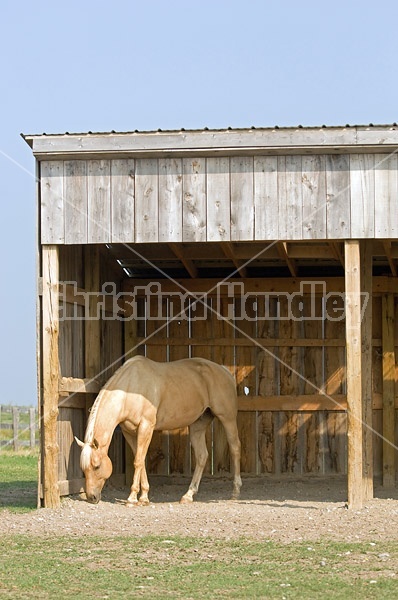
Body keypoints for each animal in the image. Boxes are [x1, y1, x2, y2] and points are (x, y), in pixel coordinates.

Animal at [75, 356, 243, 506]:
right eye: (83, 468)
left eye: (96, 466)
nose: (91, 497)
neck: (130, 388)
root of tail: (224, 371)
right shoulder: (129, 432)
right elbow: (140, 460)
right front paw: (143, 497)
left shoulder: (146, 427)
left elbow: (138, 461)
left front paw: (132, 498)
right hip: (198, 425)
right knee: (202, 456)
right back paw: (188, 495)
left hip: (227, 419)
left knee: (235, 448)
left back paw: (235, 492)